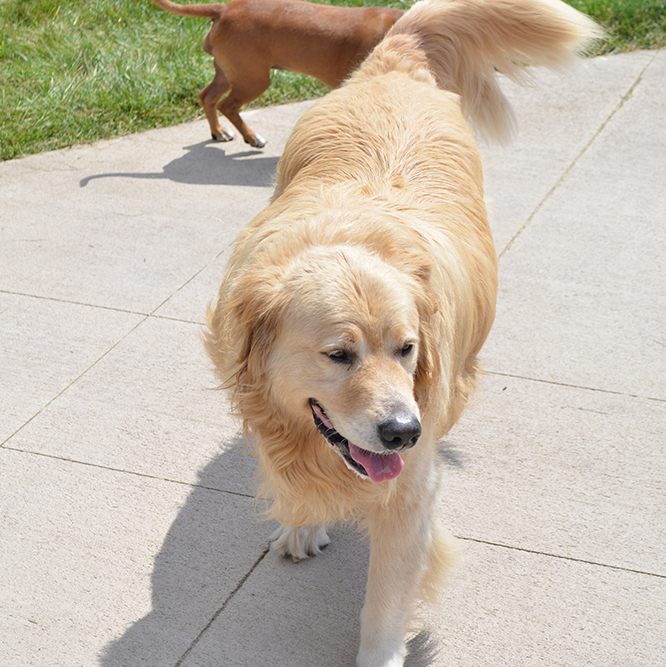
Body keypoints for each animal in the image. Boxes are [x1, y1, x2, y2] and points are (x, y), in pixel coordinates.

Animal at [153, 0, 402, 147]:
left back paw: (219, 132)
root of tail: (226, 7)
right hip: (253, 79)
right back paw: (251, 137)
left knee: (208, 96)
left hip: (230, 73)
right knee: (227, 105)